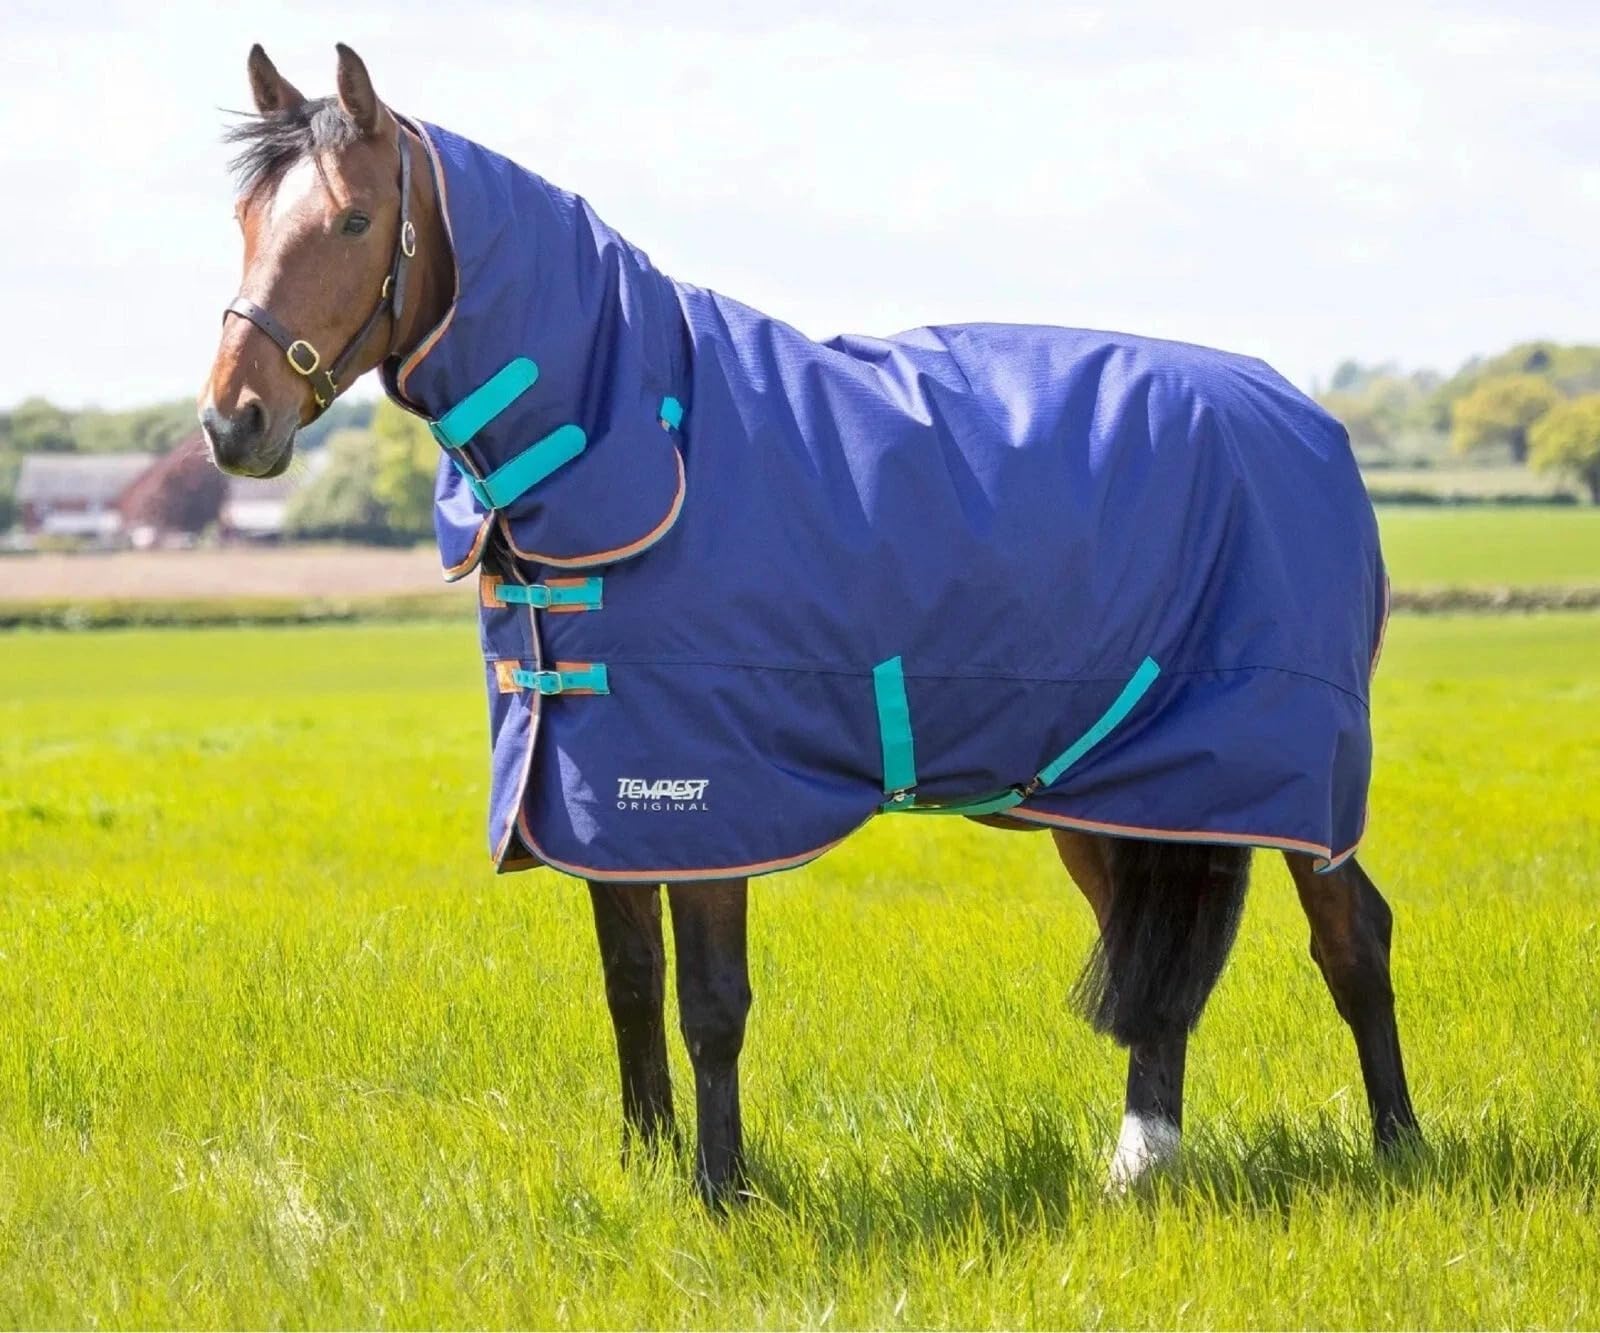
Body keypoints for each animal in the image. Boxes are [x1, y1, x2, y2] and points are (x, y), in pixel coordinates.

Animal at [199, 44, 1420, 1205]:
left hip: (1288, 769)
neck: (646, 444)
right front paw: (648, 1169)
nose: (231, 421)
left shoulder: (705, 797)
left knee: (1350, 933)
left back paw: (1399, 1150)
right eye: (248, 220)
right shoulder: (594, 799)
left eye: (354, 220)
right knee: (1153, 961)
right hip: (1117, 787)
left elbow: (710, 1003)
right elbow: (631, 988)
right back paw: (1140, 1161)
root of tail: (1307, 418)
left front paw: (721, 1191)